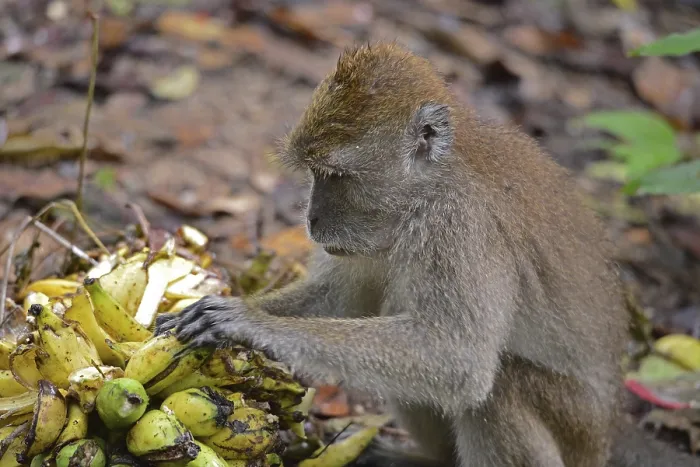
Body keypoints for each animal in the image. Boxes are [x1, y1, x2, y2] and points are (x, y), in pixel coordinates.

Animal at [156, 43, 700, 467]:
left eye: (335, 176)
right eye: (314, 174)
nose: (311, 220)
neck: (428, 187)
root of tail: (611, 424)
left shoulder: (460, 227)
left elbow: (457, 358)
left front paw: (249, 324)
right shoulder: (380, 229)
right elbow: (342, 300)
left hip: (578, 431)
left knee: (497, 385)